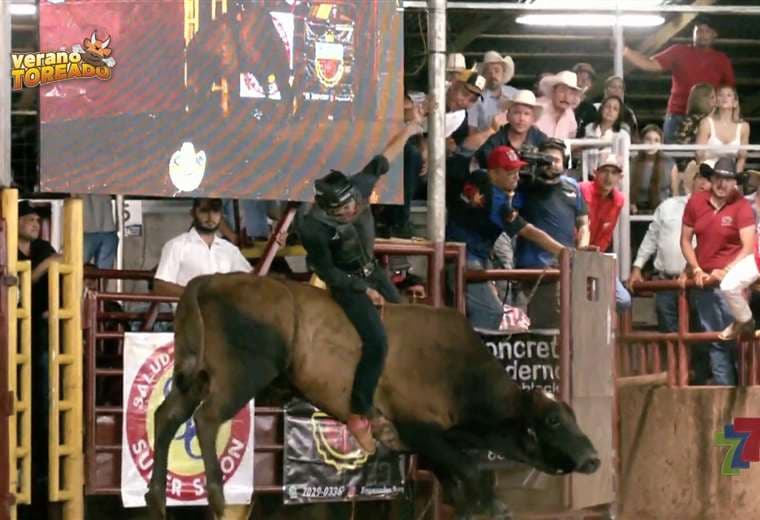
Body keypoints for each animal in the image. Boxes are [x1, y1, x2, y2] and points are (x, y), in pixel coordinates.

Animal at [144, 274, 600, 516]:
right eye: (553, 420)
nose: (593, 458)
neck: (459, 371)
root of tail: (208, 282)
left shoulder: (425, 445)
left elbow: (462, 478)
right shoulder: (422, 430)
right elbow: (471, 472)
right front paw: (486, 508)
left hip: (193, 377)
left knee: (166, 417)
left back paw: (156, 498)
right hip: (240, 375)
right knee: (206, 419)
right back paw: (218, 498)